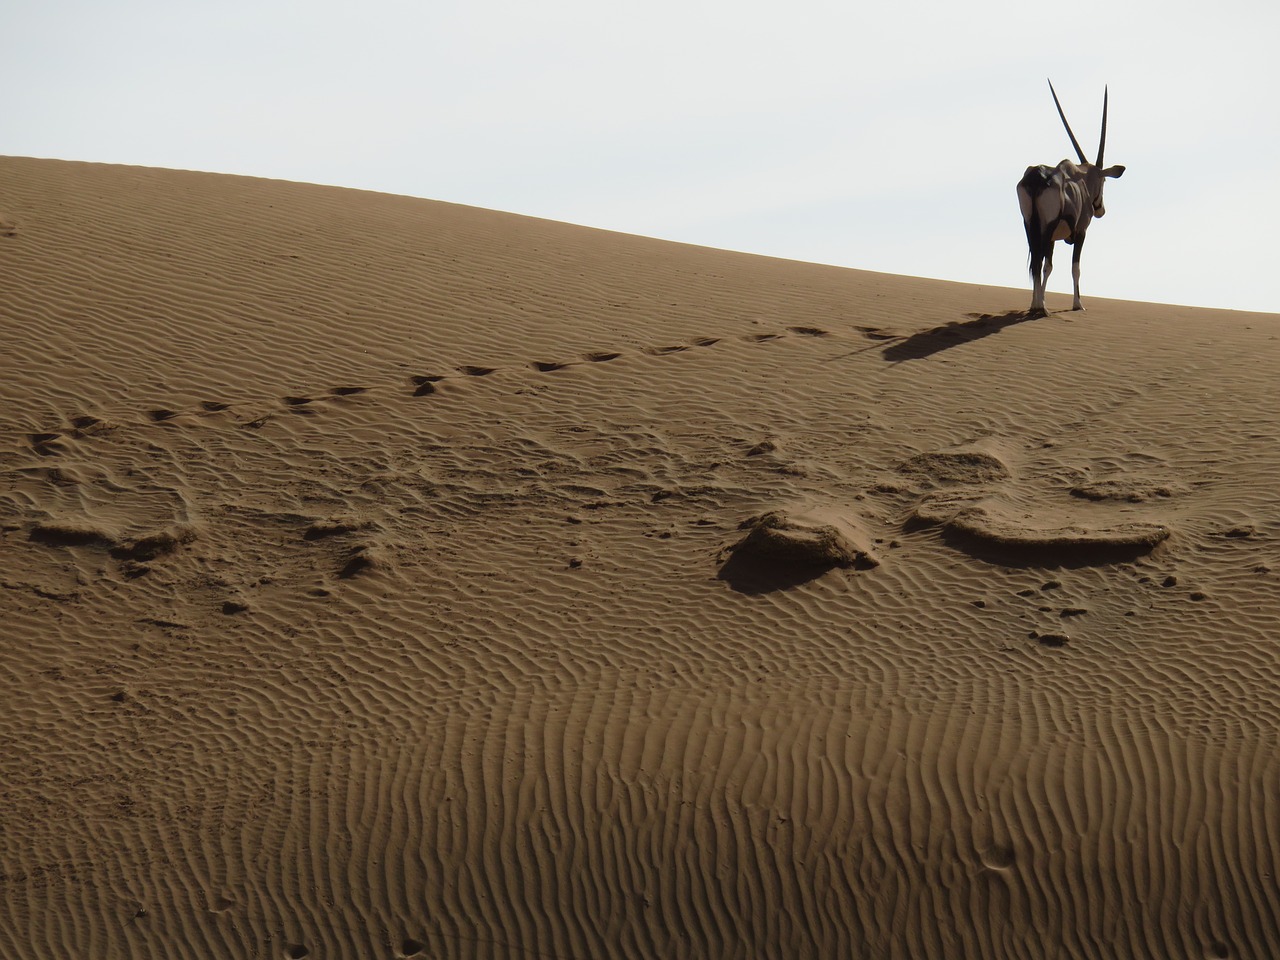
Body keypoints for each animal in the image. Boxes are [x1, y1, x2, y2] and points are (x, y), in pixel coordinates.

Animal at [1013, 82, 1126, 316]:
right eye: (1104, 181)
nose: (1100, 210)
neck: (1081, 178)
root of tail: (1037, 177)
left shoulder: (1051, 237)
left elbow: (1047, 266)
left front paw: (1041, 300)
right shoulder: (1081, 232)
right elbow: (1075, 267)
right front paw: (1077, 304)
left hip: (1030, 226)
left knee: (1035, 261)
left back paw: (1036, 305)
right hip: (1046, 228)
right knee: (1039, 261)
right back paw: (1041, 308)